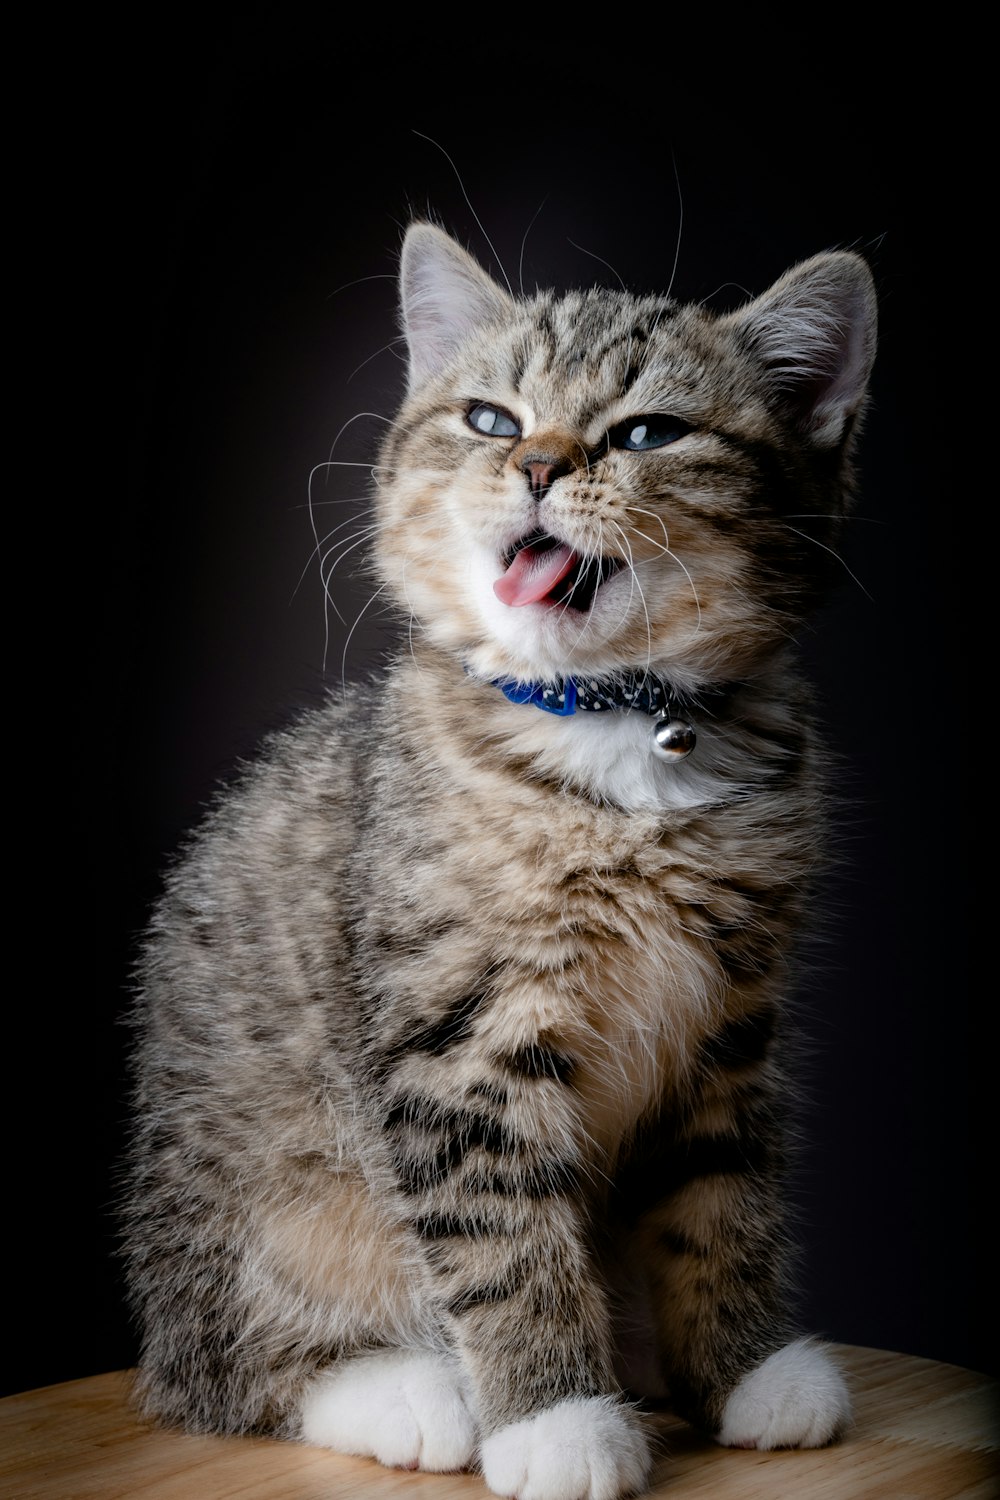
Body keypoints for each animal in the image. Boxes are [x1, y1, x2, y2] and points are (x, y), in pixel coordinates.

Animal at [122, 222, 875, 1500]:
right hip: (260, 1211)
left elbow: (720, 1194)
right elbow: (501, 1226)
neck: (613, 725)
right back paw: (412, 1393)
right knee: (228, 1372)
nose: (533, 466)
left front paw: (742, 1366)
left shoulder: (731, 1018)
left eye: (645, 431)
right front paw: (554, 1417)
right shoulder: (457, 1034)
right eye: (487, 418)